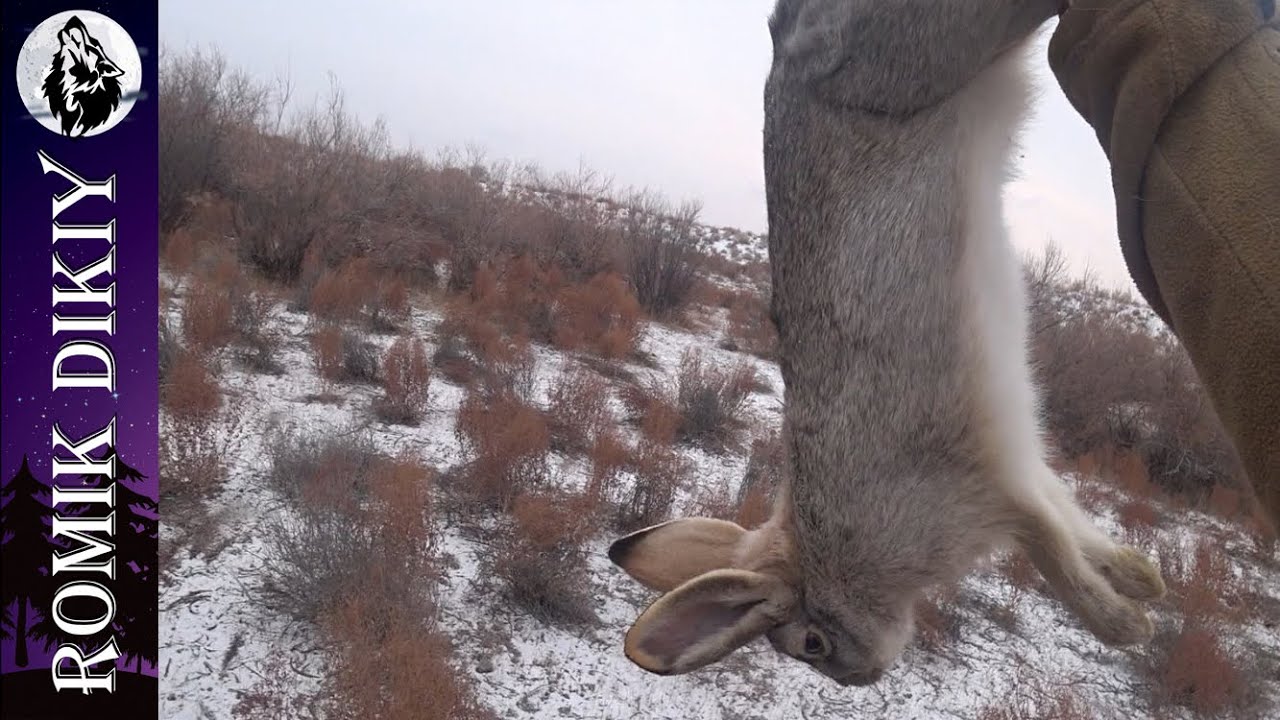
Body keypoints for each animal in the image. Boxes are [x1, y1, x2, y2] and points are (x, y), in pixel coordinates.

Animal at [607, 0, 1164, 687]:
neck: (831, 553)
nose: (863, 675)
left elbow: (1049, 552)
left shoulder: (976, 489)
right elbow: (1070, 521)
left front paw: (1127, 625)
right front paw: (1142, 580)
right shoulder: (1020, 463)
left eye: (810, 643)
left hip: (916, 56)